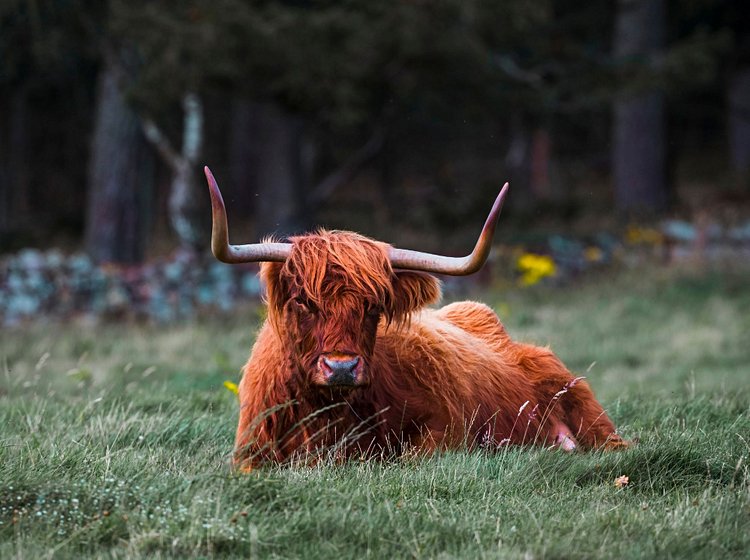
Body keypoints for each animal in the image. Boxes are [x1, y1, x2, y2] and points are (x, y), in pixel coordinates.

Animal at [204, 167, 628, 472]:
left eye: (373, 305)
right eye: (303, 301)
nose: (341, 368)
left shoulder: (445, 432)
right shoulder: (249, 453)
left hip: (590, 414)